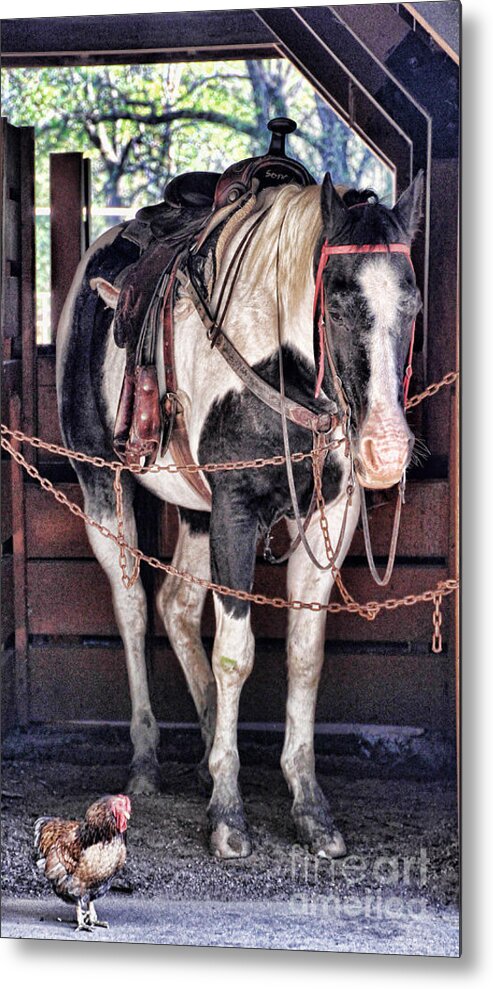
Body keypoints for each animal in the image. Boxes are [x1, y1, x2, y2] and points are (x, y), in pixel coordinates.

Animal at [55, 170, 420, 856]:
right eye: (336, 304)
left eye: (411, 305)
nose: (384, 451)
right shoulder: (235, 509)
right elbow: (235, 654)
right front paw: (228, 814)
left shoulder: (330, 513)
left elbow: (303, 656)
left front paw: (311, 808)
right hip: (103, 483)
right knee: (133, 608)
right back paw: (146, 759)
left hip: (194, 510)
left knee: (175, 605)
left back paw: (200, 749)